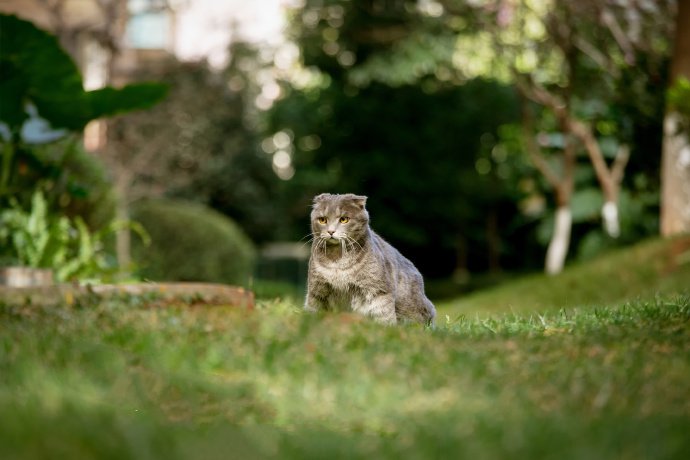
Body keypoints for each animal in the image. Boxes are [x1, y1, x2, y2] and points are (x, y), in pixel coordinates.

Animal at [302, 192, 432, 326]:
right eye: (322, 220)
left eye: (344, 219)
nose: (331, 231)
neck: (337, 258)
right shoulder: (317, 289)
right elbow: (313, 310)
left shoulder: (378, 289)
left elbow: (383, 314)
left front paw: (386, 327)